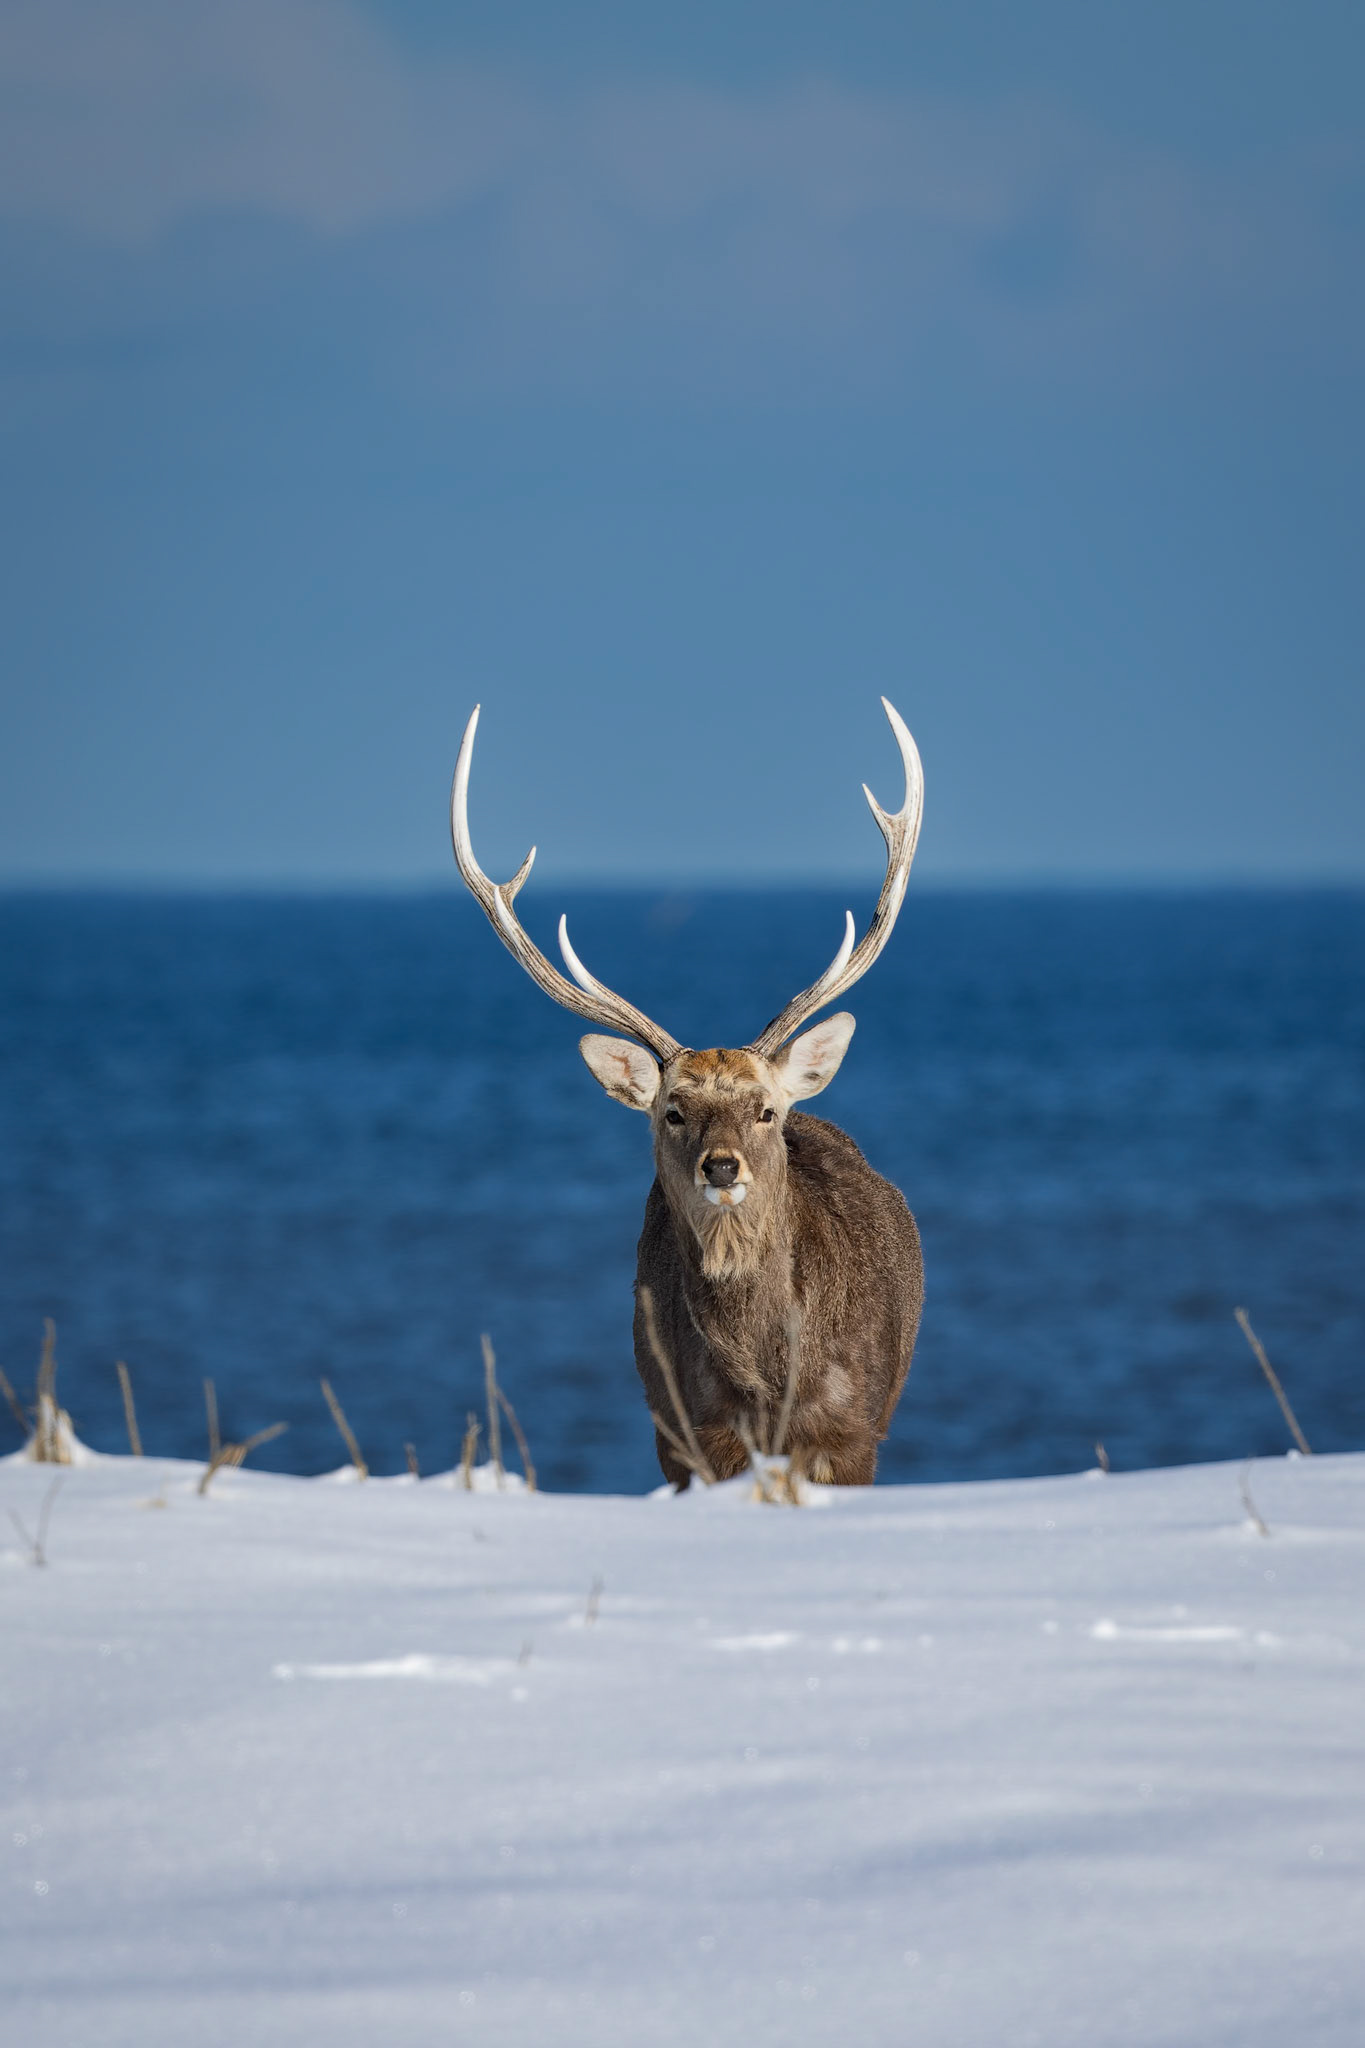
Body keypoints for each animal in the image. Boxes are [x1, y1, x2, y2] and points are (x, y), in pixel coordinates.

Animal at [450, 699, 925, 1488]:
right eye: (673, 1111)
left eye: (766, 1110)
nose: (722, 1166)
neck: (768, 1381)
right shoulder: (690, 1432)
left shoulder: (852, 1430)